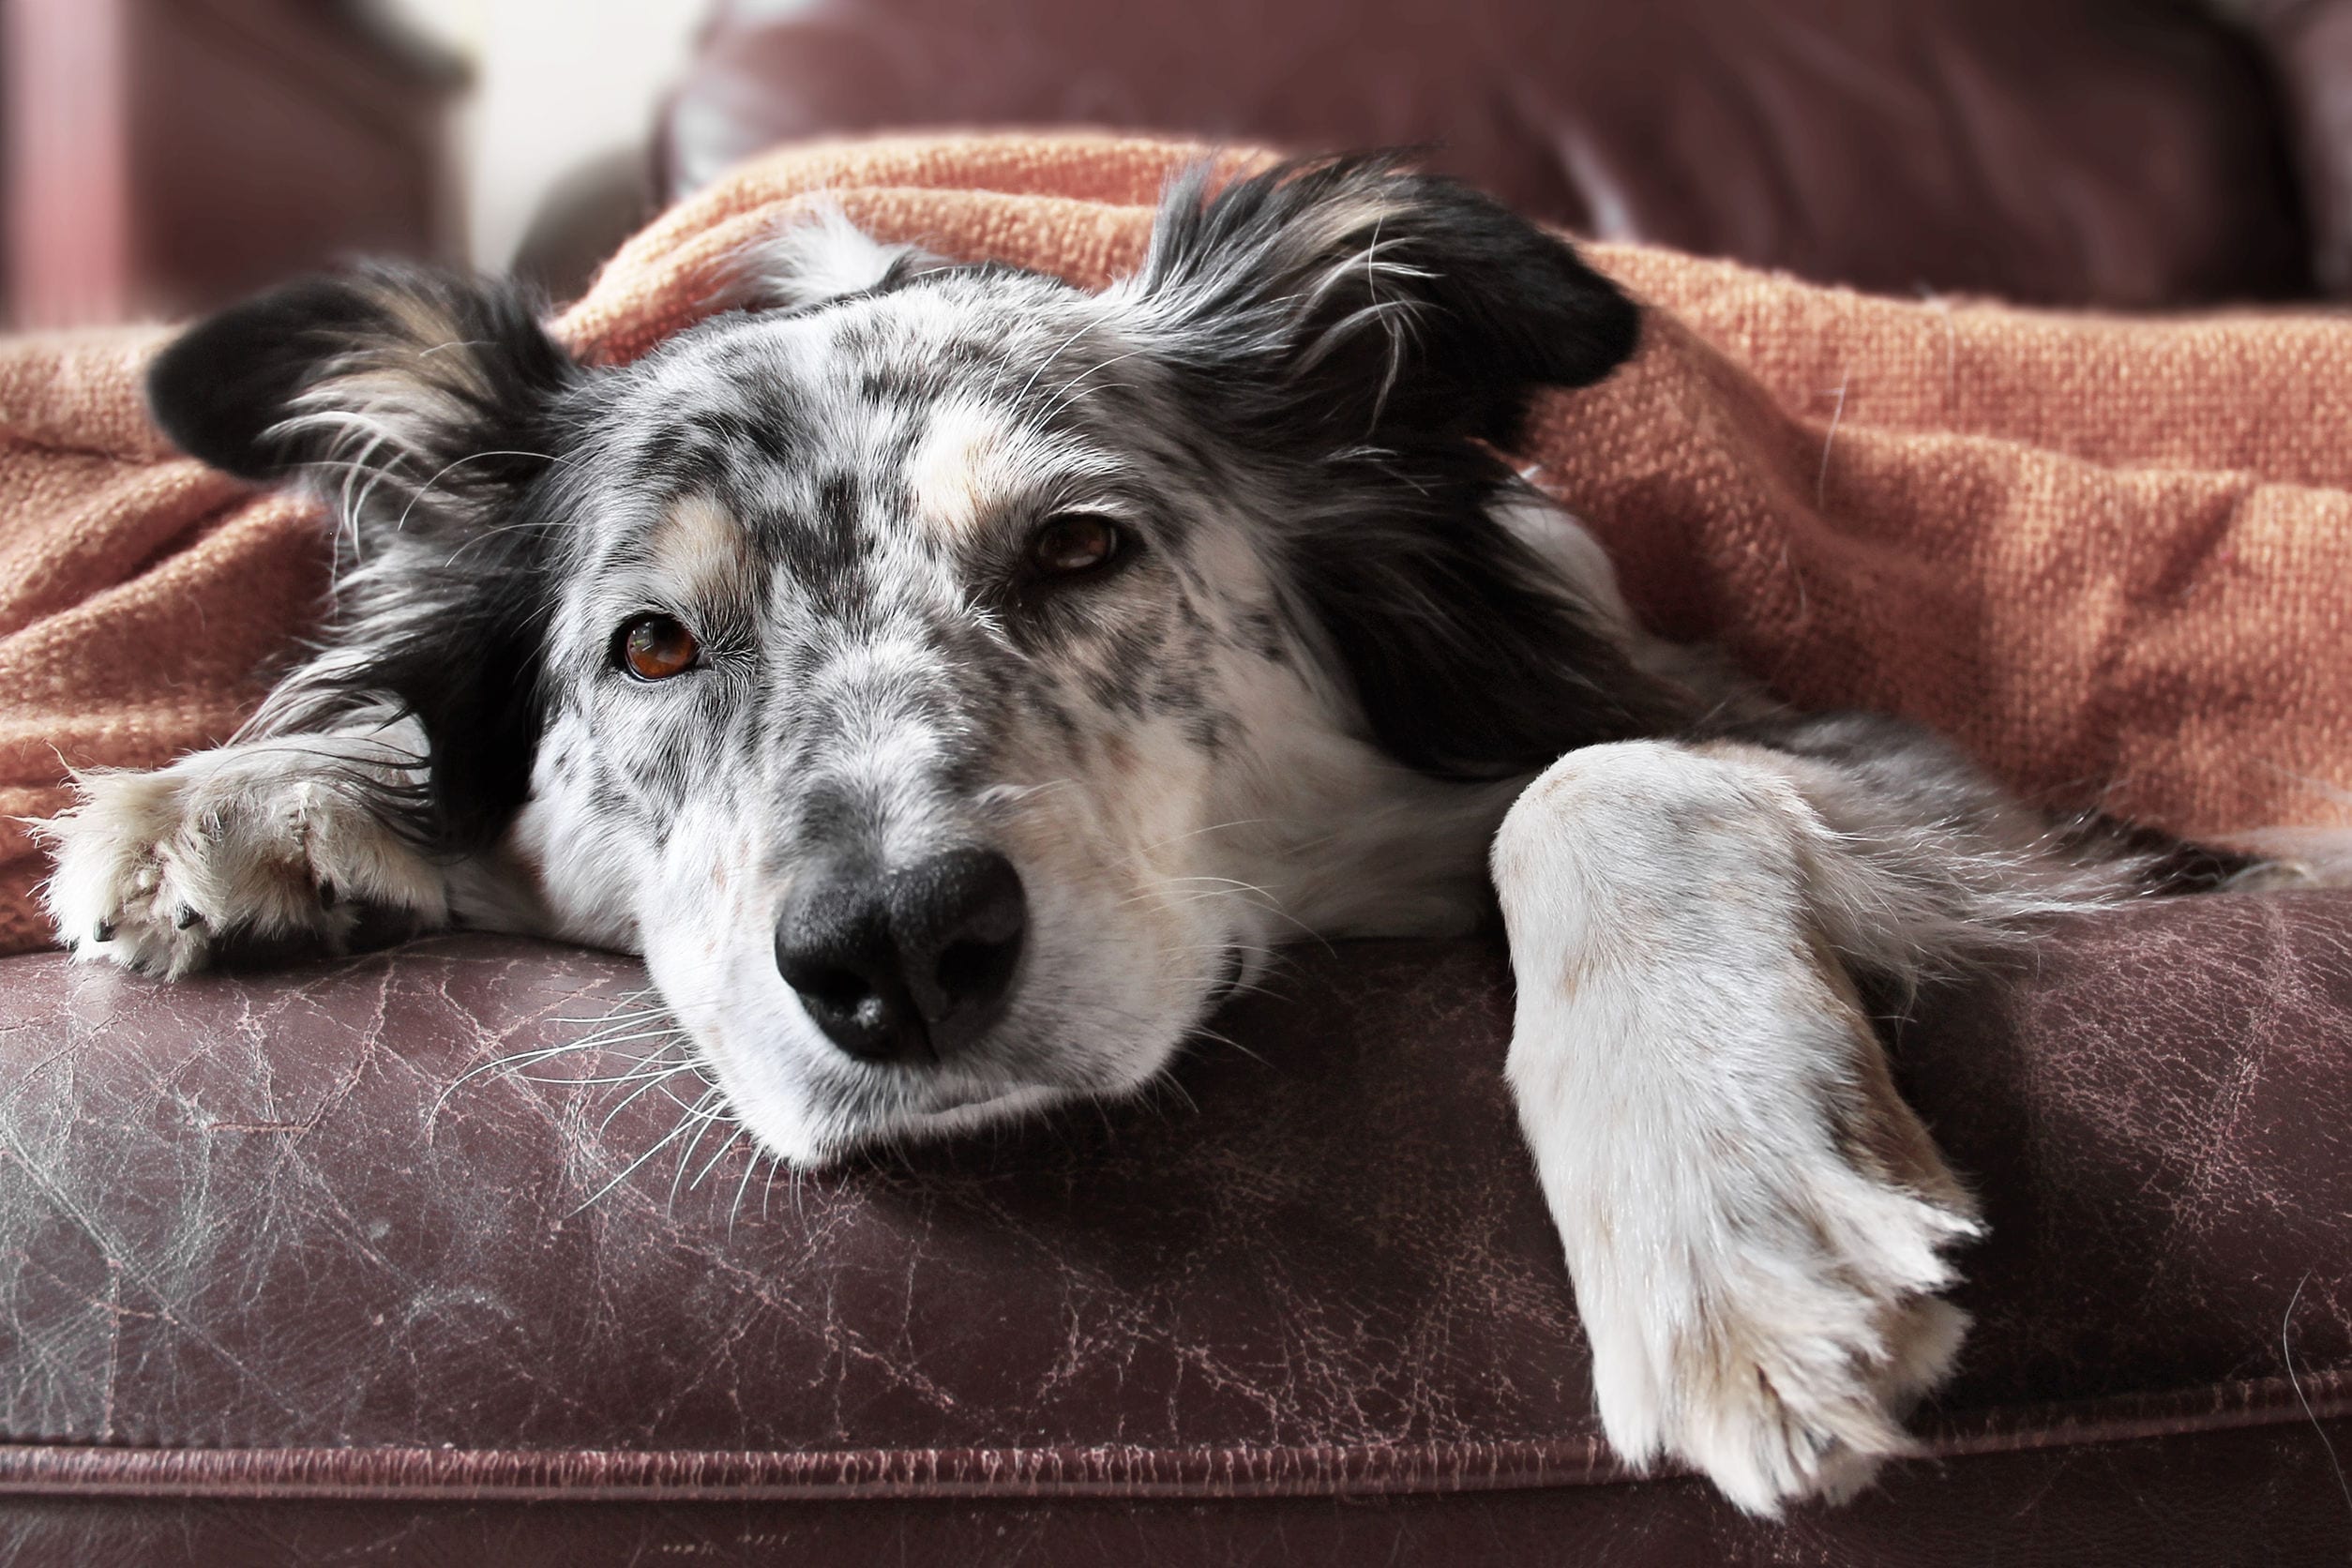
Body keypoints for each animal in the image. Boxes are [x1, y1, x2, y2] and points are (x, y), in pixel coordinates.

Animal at [32, 152, 2314, 1514]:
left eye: (1077, 546)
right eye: (654, 645)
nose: (896, 953)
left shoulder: (1949, 789)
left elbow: (1600, 776)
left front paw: (1726, 1220)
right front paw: (249, 797)